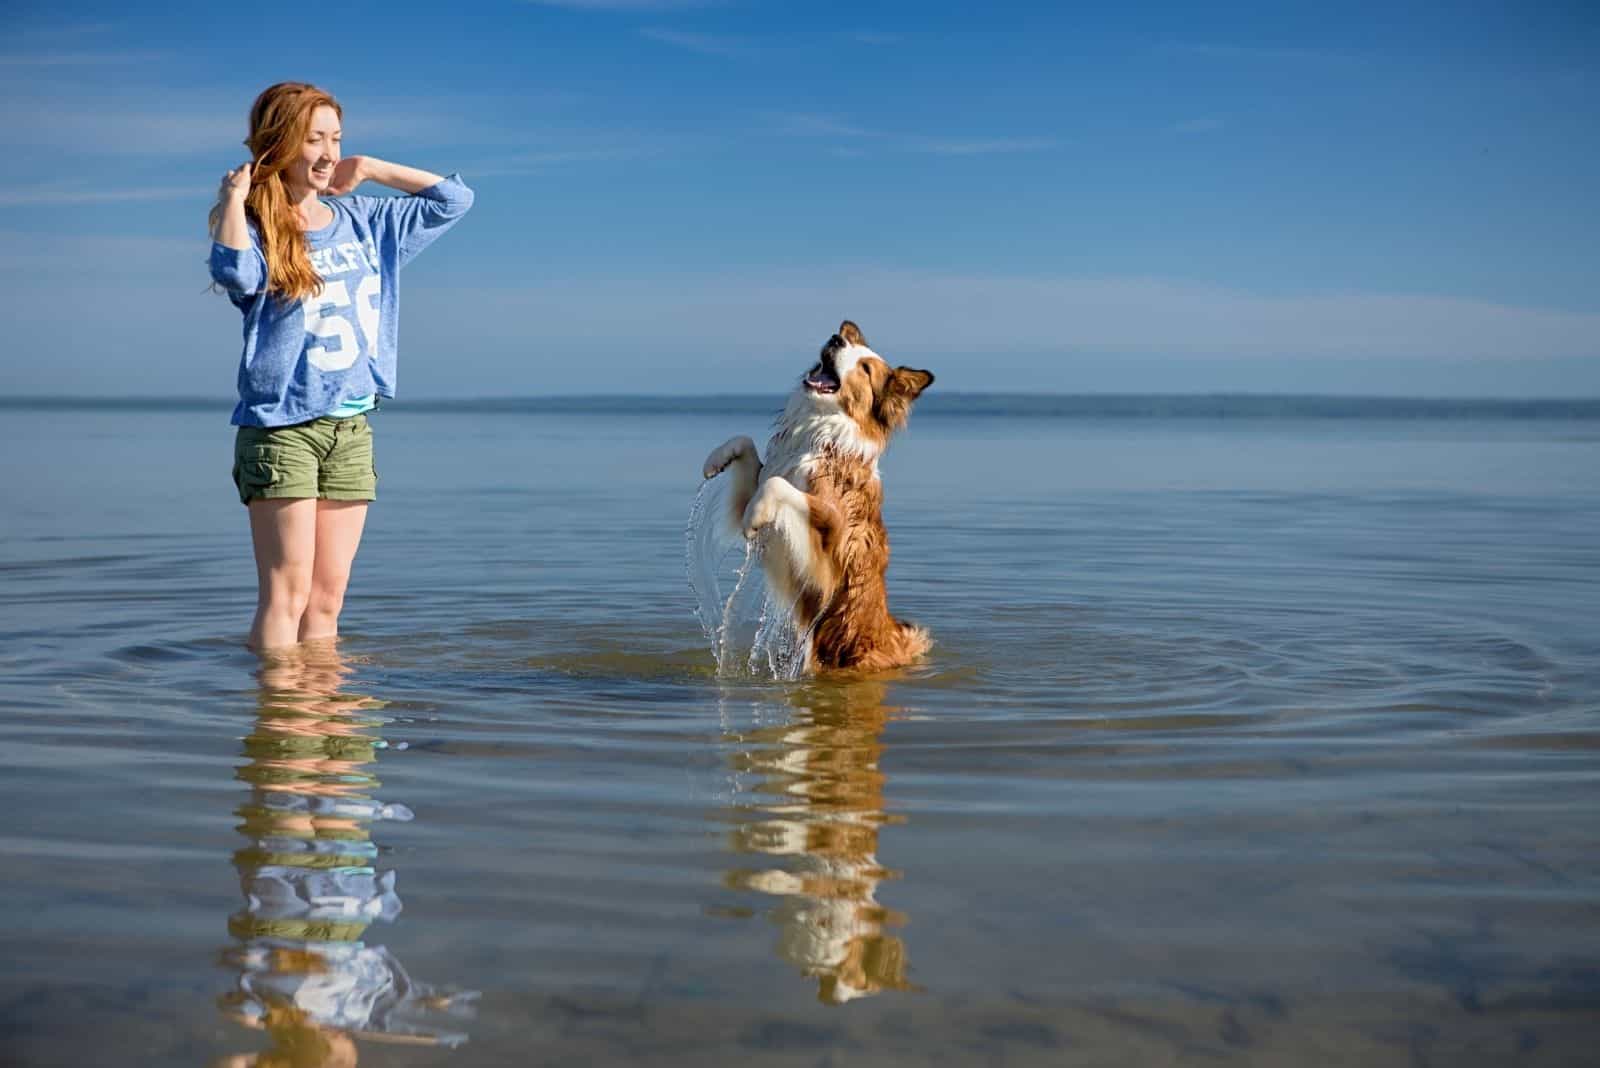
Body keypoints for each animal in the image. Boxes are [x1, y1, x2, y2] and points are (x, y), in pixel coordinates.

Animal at [704, 316, 934, 671]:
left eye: (866, 369)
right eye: (846, 345)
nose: (836, 339)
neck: (820, 433)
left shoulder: (827, 546)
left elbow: (778, 487)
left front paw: (754, 517)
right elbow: (749, 448)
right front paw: (716, 459)